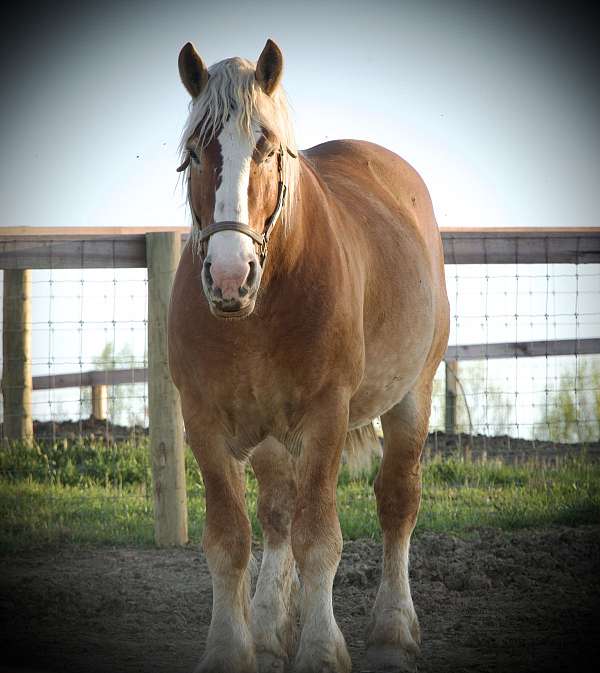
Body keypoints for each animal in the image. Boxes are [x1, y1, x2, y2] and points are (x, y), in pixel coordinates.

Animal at [169, 38, 450, 672]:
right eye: (194, 153)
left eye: (269, 149)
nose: (230, 276)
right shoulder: (202, 419)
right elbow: (229, 538)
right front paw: (232, 648)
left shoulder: (327, 417)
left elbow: (319, 537)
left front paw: (322, 649)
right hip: (273, 435)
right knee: (277, 513)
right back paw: (271, 627)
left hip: (413, 395)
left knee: (397, 501)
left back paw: (393, 631)